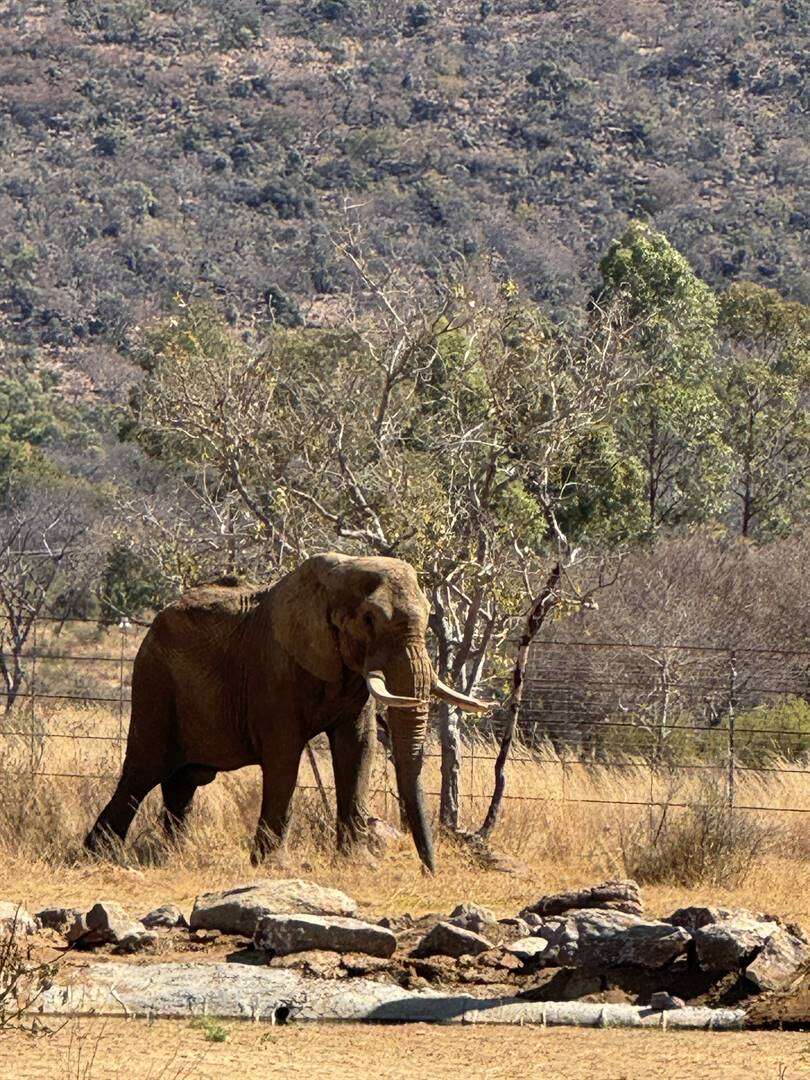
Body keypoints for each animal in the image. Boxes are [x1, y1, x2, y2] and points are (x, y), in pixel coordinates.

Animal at [85, 552, 486, 872]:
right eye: (370, 619)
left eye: (430, 616)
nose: (429, 871)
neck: (337, 576)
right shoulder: (274, 669)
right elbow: (284, 754)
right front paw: (273, 867)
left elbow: (358, 746)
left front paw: (358, 864)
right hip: (154, 681)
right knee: (142, 772)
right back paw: (101, 853)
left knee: (183, 781)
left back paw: (173, 856)